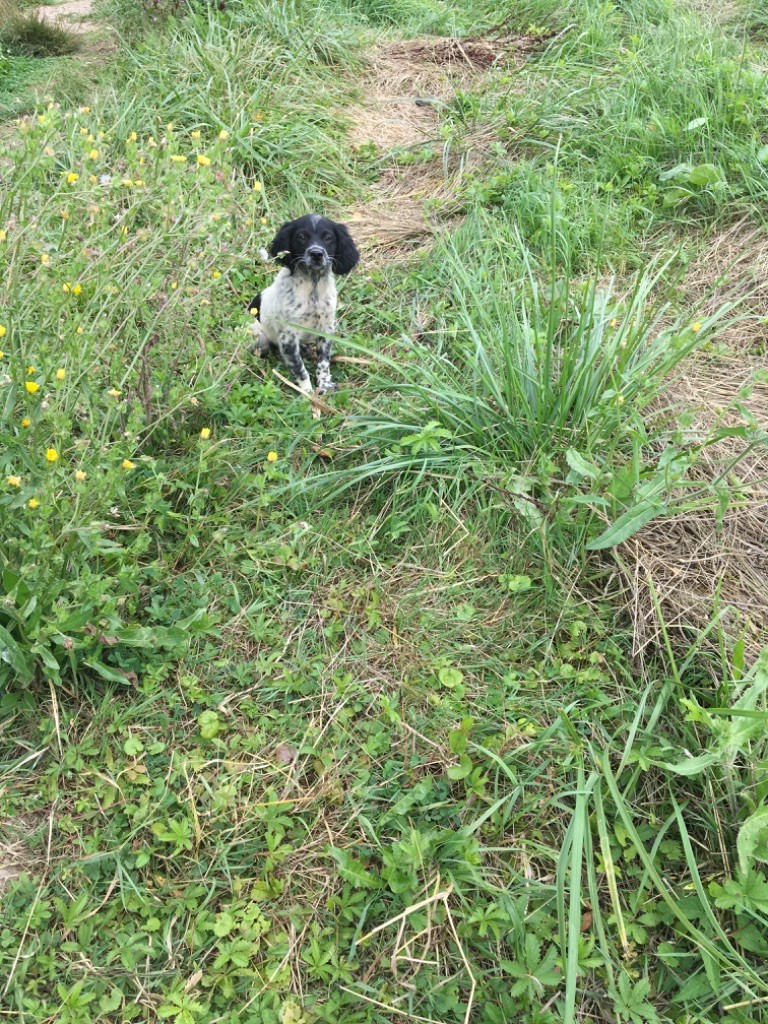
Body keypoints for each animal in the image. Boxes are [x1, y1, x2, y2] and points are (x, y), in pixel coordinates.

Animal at [250, 212, 362, 395]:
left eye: (328, 238)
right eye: (301, 237)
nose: (316, 254)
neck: (313, 287)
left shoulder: (326, 329)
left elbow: (323, 362)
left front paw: (324, 384)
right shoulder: (288, 336)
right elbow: (298, 367)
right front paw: (307, 392)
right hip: (260, 337)